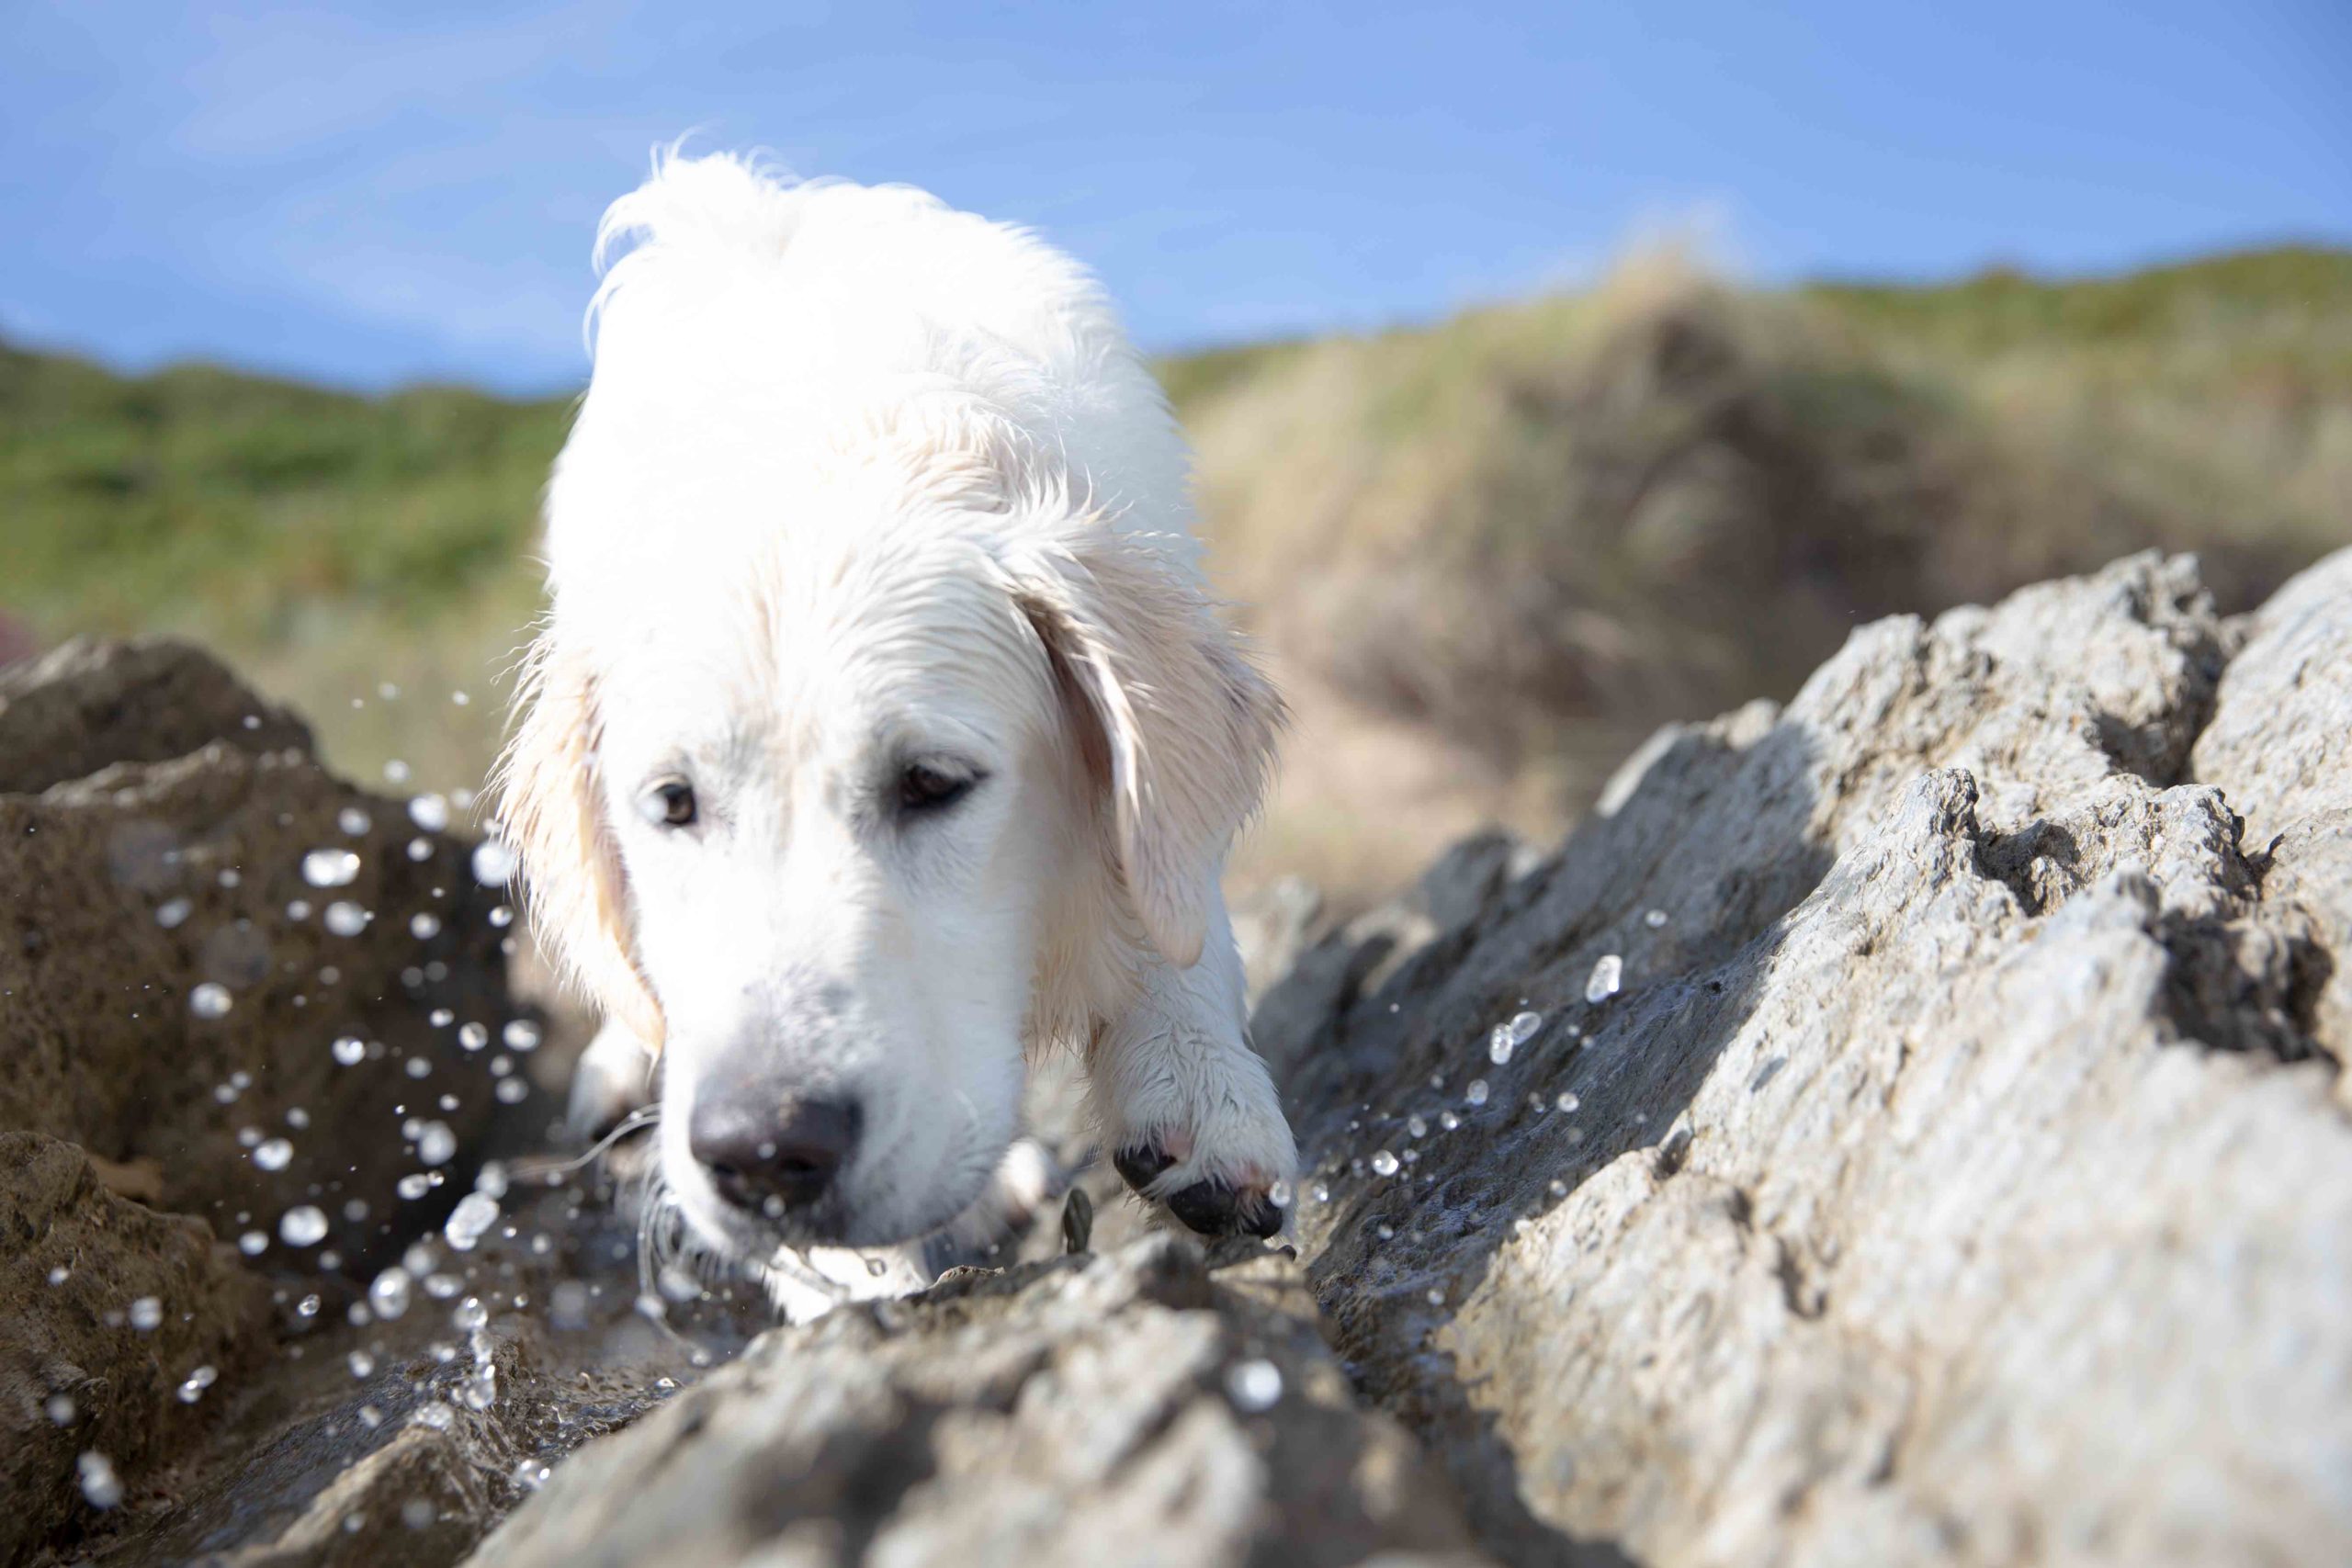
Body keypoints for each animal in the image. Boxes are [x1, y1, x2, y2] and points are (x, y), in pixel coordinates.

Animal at [496, 150, 1298, 1297]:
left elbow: (1164, 892)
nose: (763, 1152)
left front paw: (1199, 1090)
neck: (830, 445)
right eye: (673, 804)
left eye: (932, 784)